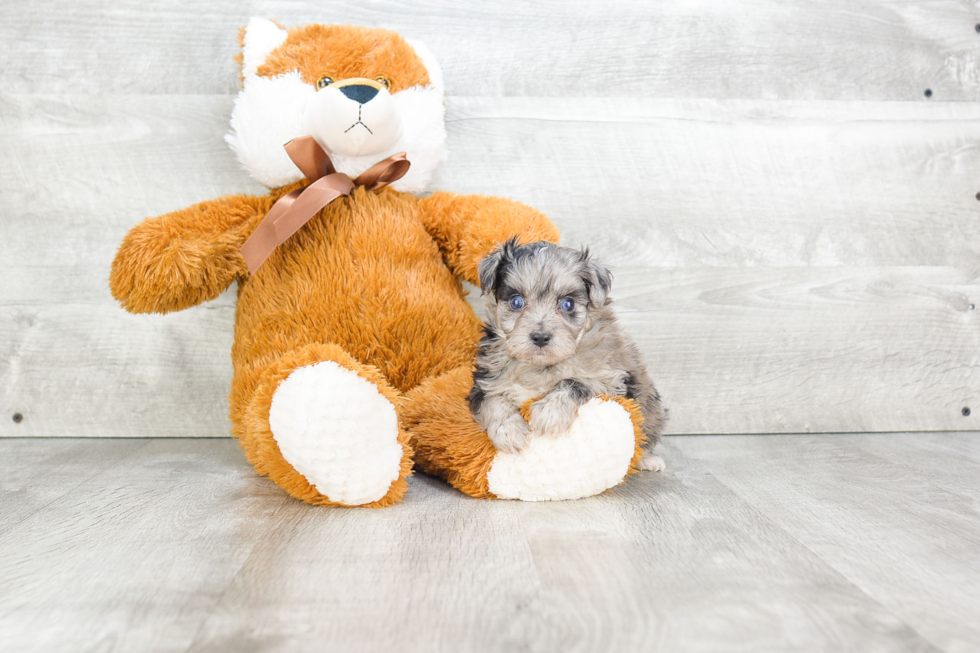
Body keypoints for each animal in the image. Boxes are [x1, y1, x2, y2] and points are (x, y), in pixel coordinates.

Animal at [468, 238, 668, 468]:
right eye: (516, 301)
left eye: (567, 304)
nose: (540, 337)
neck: (540, 367)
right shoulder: (486, 380)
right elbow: (493, 401)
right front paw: (509, 431)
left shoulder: (610, 379)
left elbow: (574, 382)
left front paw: (549, 413)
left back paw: (648, 459)